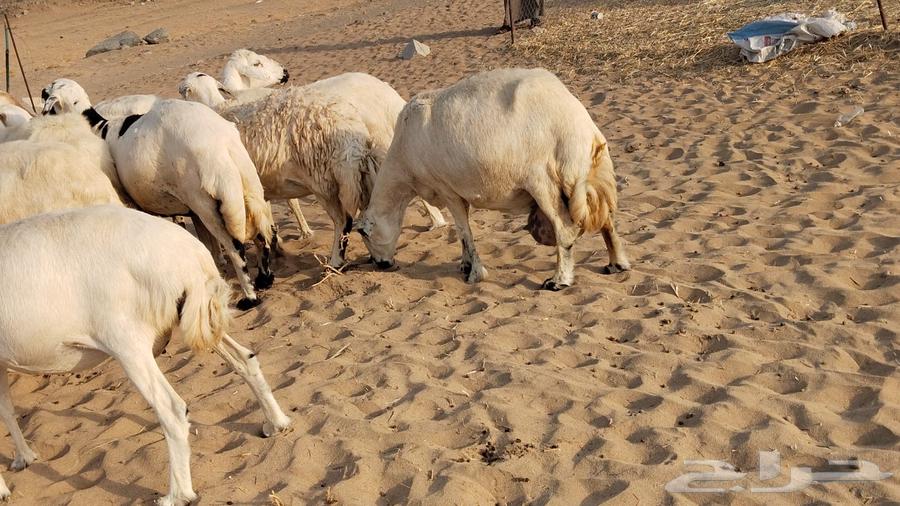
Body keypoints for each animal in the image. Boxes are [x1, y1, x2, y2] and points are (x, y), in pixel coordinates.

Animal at [0, 205, 291, 505]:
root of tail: (192, 257)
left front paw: (4, 488)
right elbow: (7, 410)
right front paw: (24, 458)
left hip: (128, 342)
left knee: (171, 409)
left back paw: (177, 495)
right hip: (198, 319)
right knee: (246, 359)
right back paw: (276, 423)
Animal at [42, 78, 277, 309]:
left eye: (48, 93)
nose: (43, 93)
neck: (99, 128)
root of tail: (220, 146)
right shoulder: (192, 212)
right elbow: (206, 245)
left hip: (206, 201)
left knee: (235, 248)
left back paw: (250, 297)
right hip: (243, 185)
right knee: (262, 232)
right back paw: (264, 279)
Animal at [356, 68, 630, 290]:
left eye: (366, 235)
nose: (381, 264)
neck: (403, 169)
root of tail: (582, 129)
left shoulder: (447, 190)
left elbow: (464, 230)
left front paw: (474, 273)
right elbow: (462, 232)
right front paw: (465, 265)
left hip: (543, 181)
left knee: (565, 229)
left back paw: (558, 280)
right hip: (588, 178)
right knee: (606, 219)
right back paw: (617, 264)